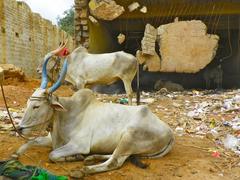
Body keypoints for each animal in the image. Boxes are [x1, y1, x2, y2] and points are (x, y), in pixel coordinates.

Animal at [15, 46, 175, 177]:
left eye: (36, 106)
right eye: (28, 103)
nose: (19, 129)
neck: (66, 113)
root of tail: (170, 132)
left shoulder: (79, 144)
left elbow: (52, 155)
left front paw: (74, 157)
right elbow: (29, 143)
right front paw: (15, 155)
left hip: (129, 136)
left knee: (115, 162)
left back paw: (84, 169)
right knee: (116, 156)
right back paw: (92, 158)